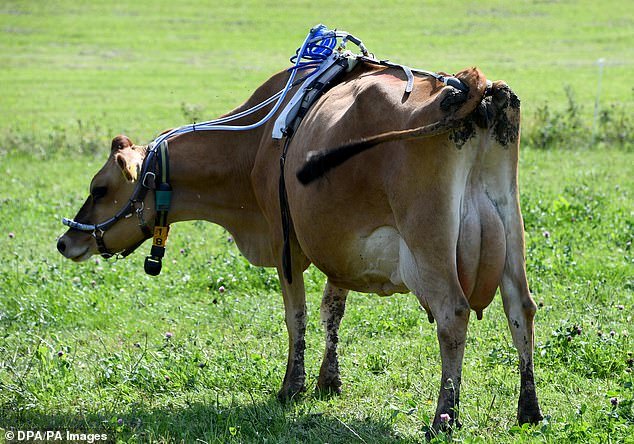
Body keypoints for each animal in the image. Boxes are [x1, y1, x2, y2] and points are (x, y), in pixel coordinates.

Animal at [55, 60, 540, 436]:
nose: (65, 241)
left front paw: (292, 386)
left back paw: (444, 417)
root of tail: (472, 85)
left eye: (99, 188)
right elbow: (332, 311)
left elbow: (297, 317)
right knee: (520, 307)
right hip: (510, 227)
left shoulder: (283, 240)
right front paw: (329, 381)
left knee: (452, 315)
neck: (257, 143)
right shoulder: (336, 246)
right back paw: (529, 410)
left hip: (429, 246)